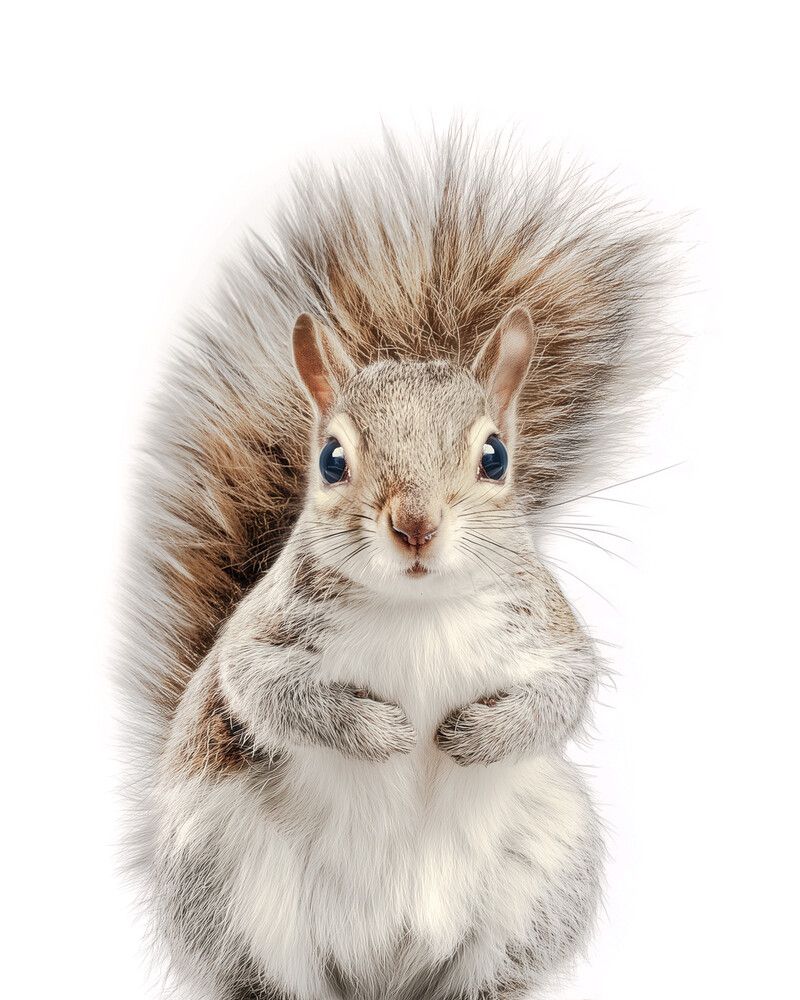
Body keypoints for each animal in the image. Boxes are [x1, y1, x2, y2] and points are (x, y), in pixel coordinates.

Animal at [119, 127, 671, 1000]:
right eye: (332, 460)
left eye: (495, 456)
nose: (415, 524)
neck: (418, 611)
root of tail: (383, 975)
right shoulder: (261, 638)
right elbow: (266, 690)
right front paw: (380, 731)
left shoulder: (548, 631)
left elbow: (562, 693)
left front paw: (473, 735)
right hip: (228, 883)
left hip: (541, 877)